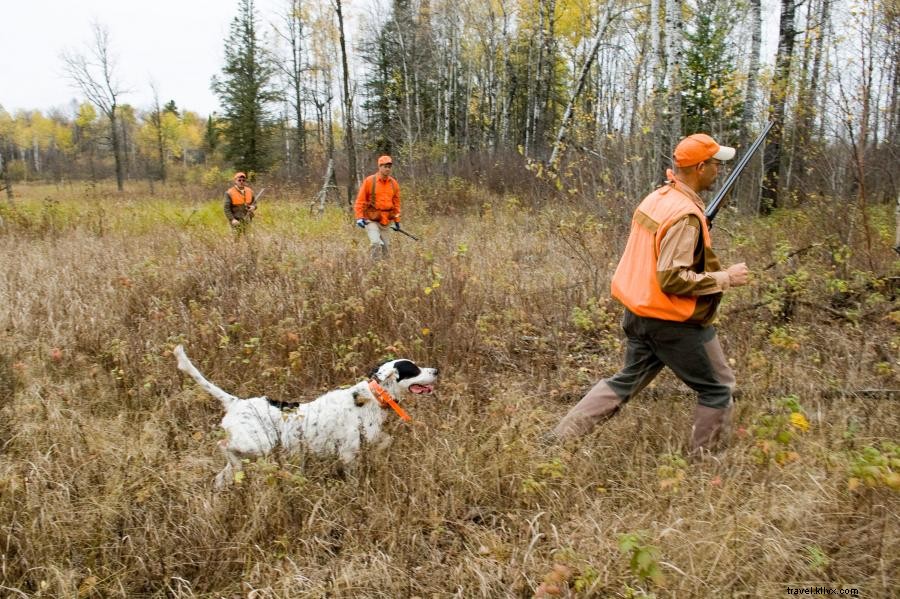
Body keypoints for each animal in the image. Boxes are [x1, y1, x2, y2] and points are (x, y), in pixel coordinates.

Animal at [173, 344, 440, 490]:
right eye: (414, 369)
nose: (436, 369)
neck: (373, 397)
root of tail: (236, 402)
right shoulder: (348, 453)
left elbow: (385, 442)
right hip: (258, 445)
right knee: (223, 445)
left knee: (223, 473)